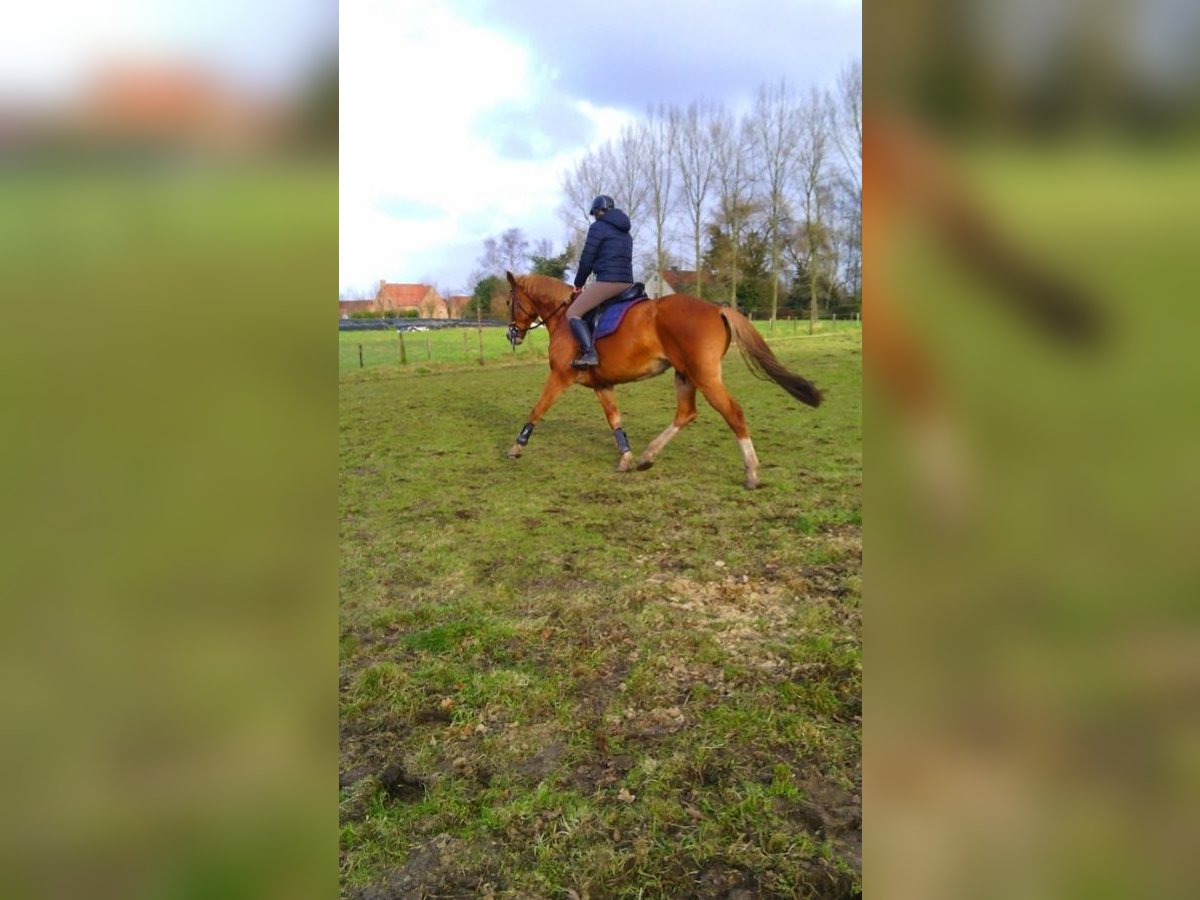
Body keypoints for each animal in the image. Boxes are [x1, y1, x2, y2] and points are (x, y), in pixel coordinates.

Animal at [501, 271, 820, 489]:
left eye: (508, 300)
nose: (511, 334)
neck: (564, 316)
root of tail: (716, 308)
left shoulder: (559, 376)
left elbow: (537, 409)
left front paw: (517, 448)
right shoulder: (602, 385)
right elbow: (614, 419)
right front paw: (626, 458)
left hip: (705, 377)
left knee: (733, 413)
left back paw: (751, 472)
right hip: (685, 375)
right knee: (686, 413)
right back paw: (647, 456)